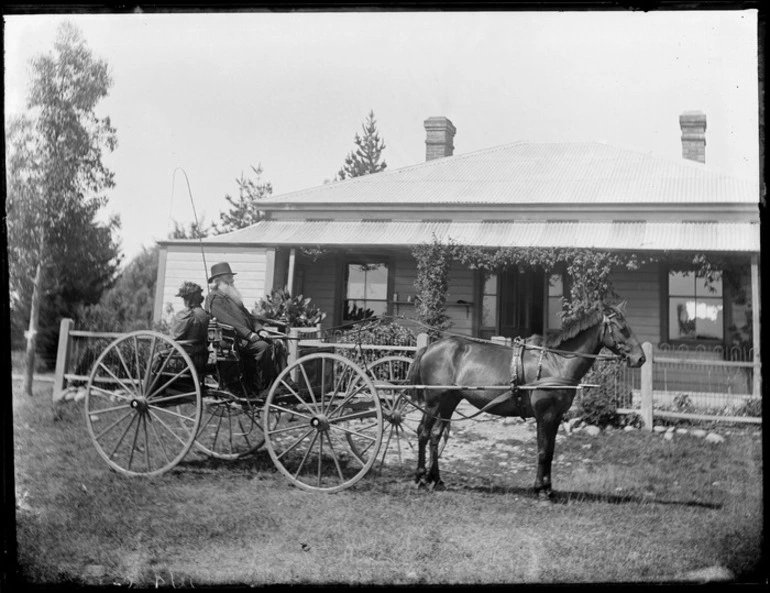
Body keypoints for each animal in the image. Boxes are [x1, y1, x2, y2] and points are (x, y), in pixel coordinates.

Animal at [404, 300, 644, 500]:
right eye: (622, 327)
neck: (556, 362)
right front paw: (541, 490)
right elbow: (543, 450)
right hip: (434, 402)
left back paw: (436, 479)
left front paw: (547, 488)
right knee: (423, 433)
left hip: (448, 402)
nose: (640, 358)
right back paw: (420, 478)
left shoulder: (556, 416)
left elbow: (550, 451)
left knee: (436, 435)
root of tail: (430, 347)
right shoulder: (545, 415)